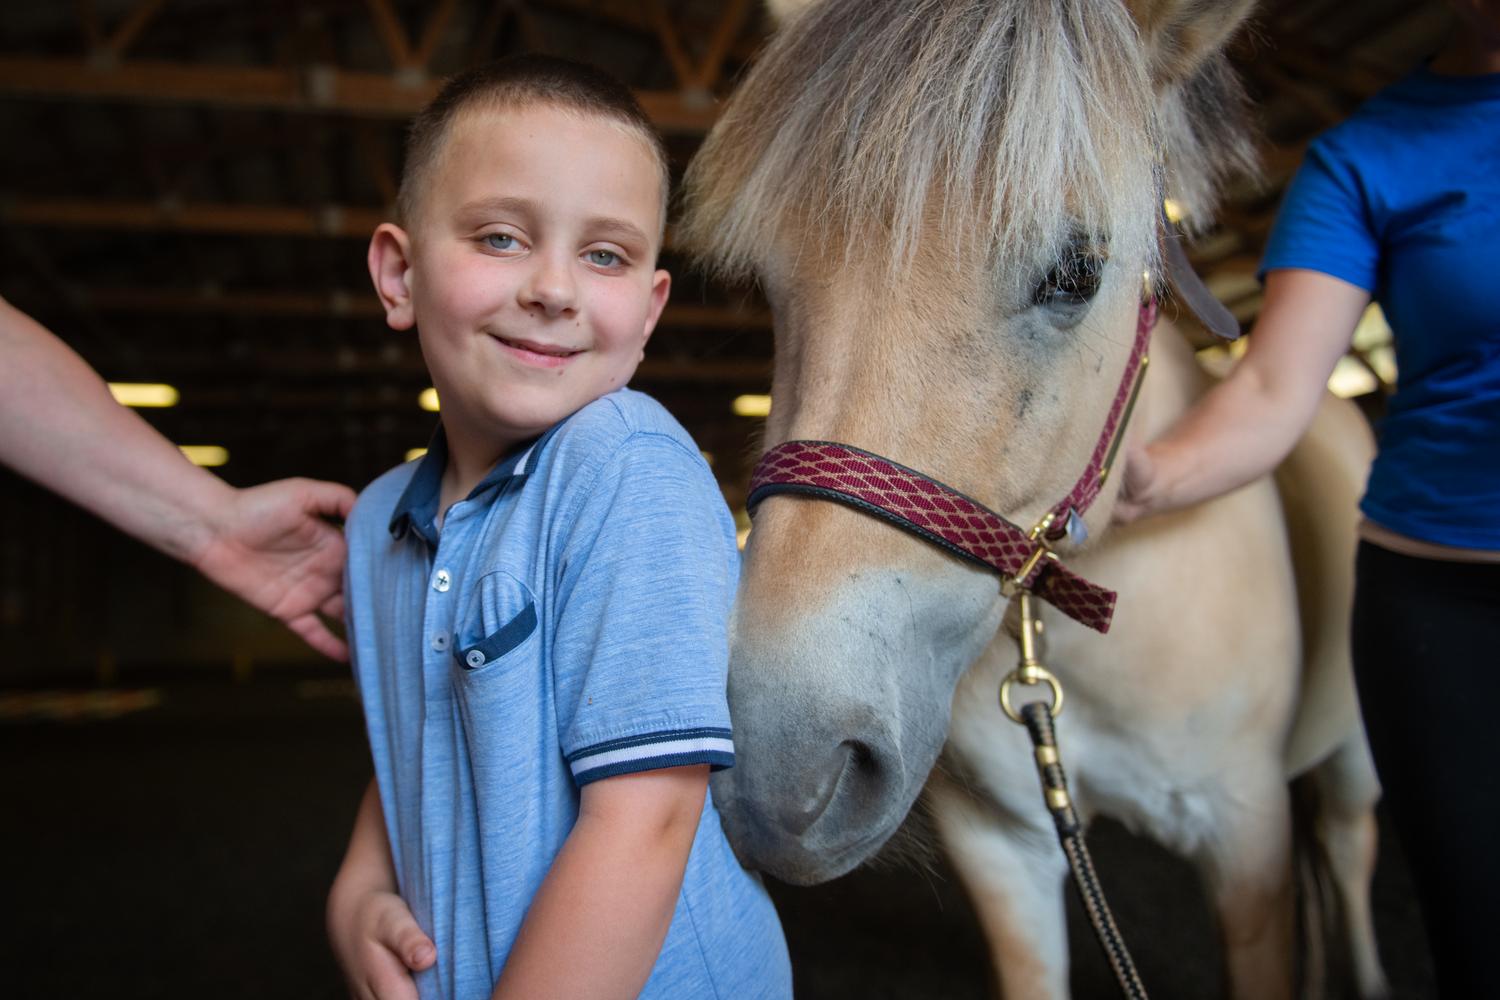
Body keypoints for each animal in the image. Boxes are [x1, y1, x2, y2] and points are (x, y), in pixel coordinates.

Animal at [687, 1, 1386, 1000]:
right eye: (776, 289)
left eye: (1075, 273)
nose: (773, 766)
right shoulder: (1005, 848)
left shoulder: (1248, 844)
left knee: (1349, 842)